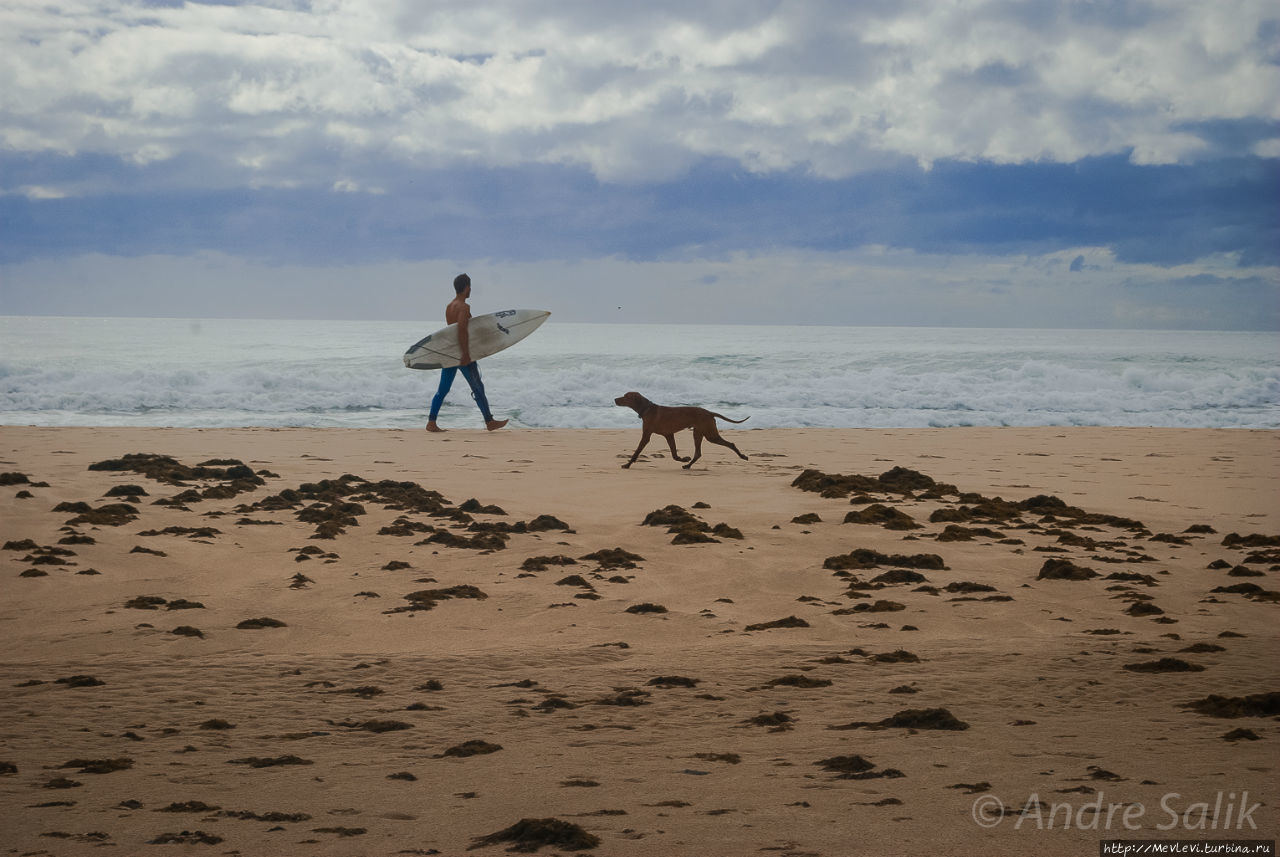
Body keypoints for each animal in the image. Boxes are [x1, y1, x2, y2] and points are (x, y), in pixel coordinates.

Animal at [611, 393, 747, 473]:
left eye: (625, 396)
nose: (615, 399)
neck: (647, 409)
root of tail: (709, 412)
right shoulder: (669, 435)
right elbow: (674, 455)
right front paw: (683, 459)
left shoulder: (646, 435)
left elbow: (637, 452)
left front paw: (627, 464)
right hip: (698, 433)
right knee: (698, 453)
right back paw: (688, 465)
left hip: (710, 435)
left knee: (731, 444)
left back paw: (743, 456)